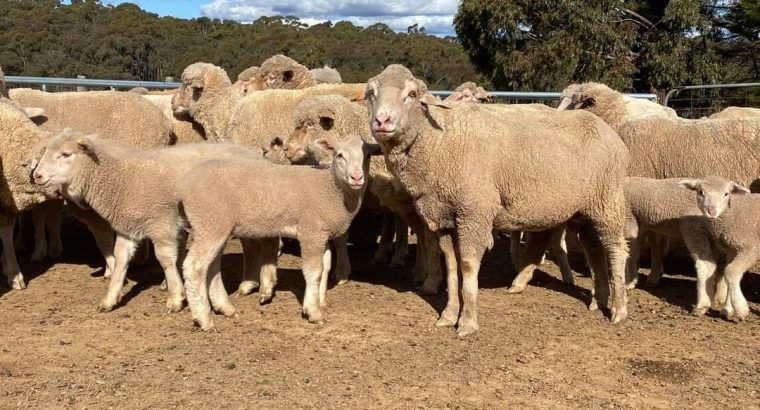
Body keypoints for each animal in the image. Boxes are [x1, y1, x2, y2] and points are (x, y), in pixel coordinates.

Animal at [31, 130, 263, 312]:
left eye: (66, 154)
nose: (37, 176)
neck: (122, 180)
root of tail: (253, 154)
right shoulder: (128, 226)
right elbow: (120, 258)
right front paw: (110, 298)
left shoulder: (162, 223)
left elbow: (165, 259)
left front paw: (176, 298)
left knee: (253, 245)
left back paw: (252, 284)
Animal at [178, 135, 377, 330]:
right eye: (339, 155)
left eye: (367, 156)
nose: (356, 177)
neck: (330, 188)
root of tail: (186, 183)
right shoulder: (311, 231)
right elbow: (314, 271)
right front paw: (313, 311)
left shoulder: (323, 233)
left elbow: (325, 268)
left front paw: (320, 301)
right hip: (209, 222)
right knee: (194, 266)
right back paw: (204, 319)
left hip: (217, 226)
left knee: (211, 266)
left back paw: (225, 308)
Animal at [366, 65, 630, 336]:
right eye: (370, 94)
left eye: (412, 94)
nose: (382, 121)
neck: (440, 140)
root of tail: (608, 130)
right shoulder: (443, 217)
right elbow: (451, 265)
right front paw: (448, 316)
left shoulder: (473, 212)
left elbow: (468, 266)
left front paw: (468, 322)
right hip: (582, 209)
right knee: (593, 248)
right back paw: (597, 299)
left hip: (608, 200)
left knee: (616, 250)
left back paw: (618, 309)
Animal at [679, 176, 758, 321]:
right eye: (700, 192)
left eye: (726, 194)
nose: (711, 211)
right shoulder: (732, 249)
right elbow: (728, 273)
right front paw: (728, 309)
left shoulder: (751, 248)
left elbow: (731, 271)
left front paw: (740, 310)